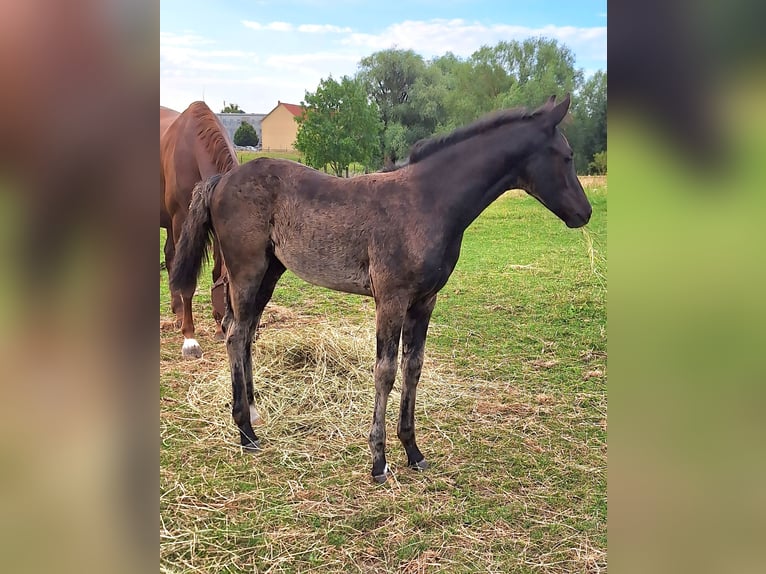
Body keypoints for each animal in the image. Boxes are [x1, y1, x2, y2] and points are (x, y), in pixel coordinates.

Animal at [170, 94, 591, 483]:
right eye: (567, 156)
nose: (584, 213)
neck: (428, 202)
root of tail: (220, 180)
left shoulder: (424, 301)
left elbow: (413, 367)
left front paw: (413, 451)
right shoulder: (391, 299)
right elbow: (385, 371)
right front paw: (378, 460)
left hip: (270, 272)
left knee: (245, 333)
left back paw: (254, 412)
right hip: (247, 270)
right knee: (235, 334)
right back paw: (245, 432)